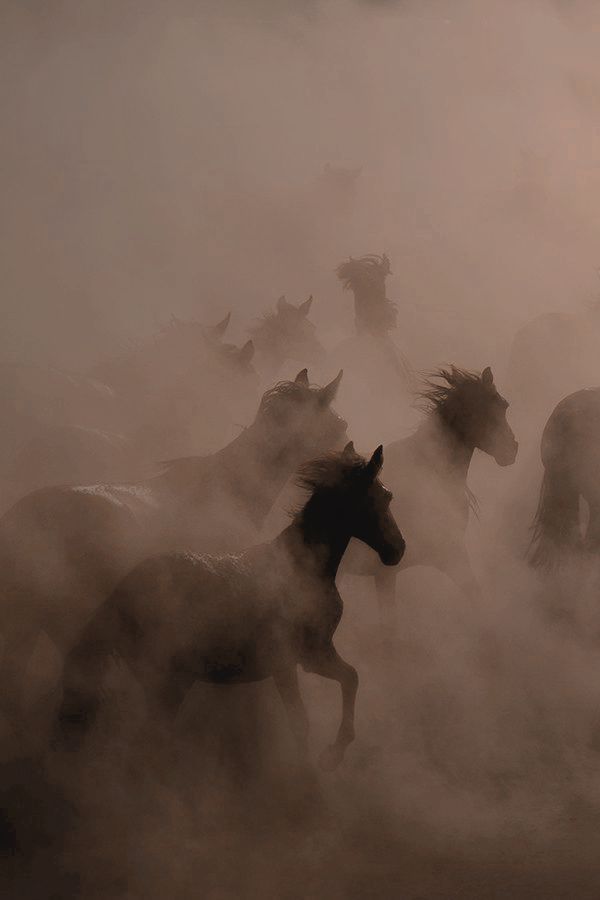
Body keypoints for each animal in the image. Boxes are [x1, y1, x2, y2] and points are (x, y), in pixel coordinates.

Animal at [54, 440, 406, 768]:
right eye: (386, 496)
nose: (398, 550)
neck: (305, 567)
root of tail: (121, 594)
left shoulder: (296, 661)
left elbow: (322, 702)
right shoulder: (308, 655)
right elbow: (335, 693)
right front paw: (331, 755)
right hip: (168, 680)